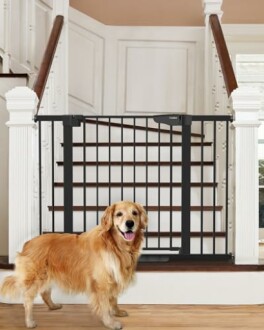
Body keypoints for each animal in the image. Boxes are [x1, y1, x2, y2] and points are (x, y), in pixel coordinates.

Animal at [0, 200, 147, 328]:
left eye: (135, 213)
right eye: (119, 214)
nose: (130, 223)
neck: (115, 245)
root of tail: (28, 243)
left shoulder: (113, 276)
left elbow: (114, 298)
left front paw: (117, 312)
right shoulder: (101, 282)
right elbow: (105, 305)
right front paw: (110, 323)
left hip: (48, 274)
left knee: (45, 293)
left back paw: (53, 306)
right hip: (37, 277)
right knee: (27, 298)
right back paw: (30, 321)